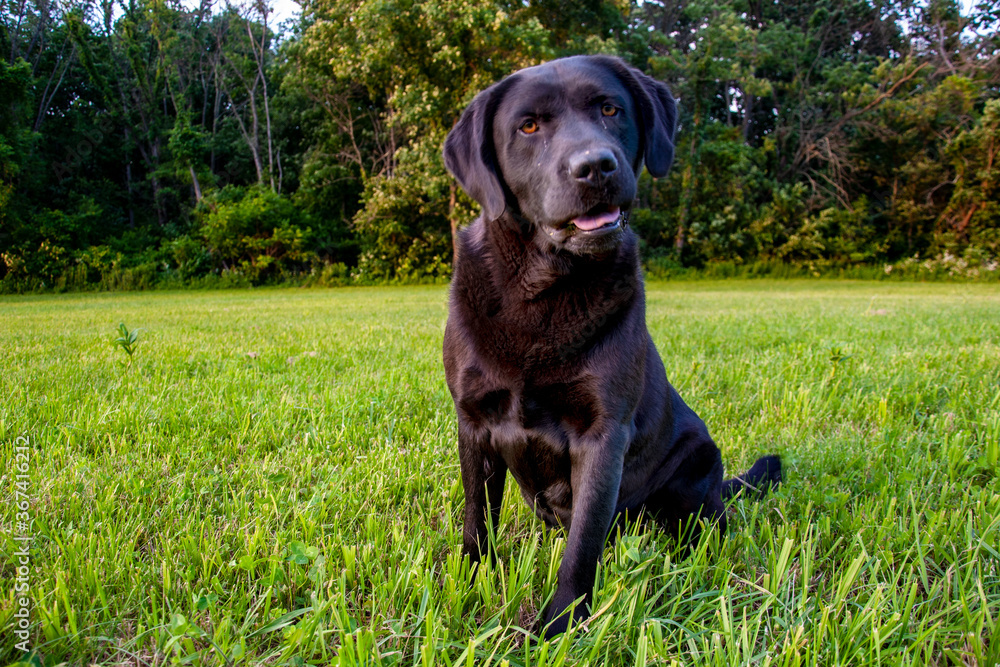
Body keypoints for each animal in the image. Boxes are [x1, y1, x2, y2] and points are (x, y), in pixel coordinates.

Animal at [444, 57, 780, 640]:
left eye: (609, 108)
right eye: (528, 126)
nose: (595, 166)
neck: (543, 290)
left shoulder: (603, 435)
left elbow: (582, 545)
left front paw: (558, 626)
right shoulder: (474, 421)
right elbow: (476, 518)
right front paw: (469, 581)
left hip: (696, 463)